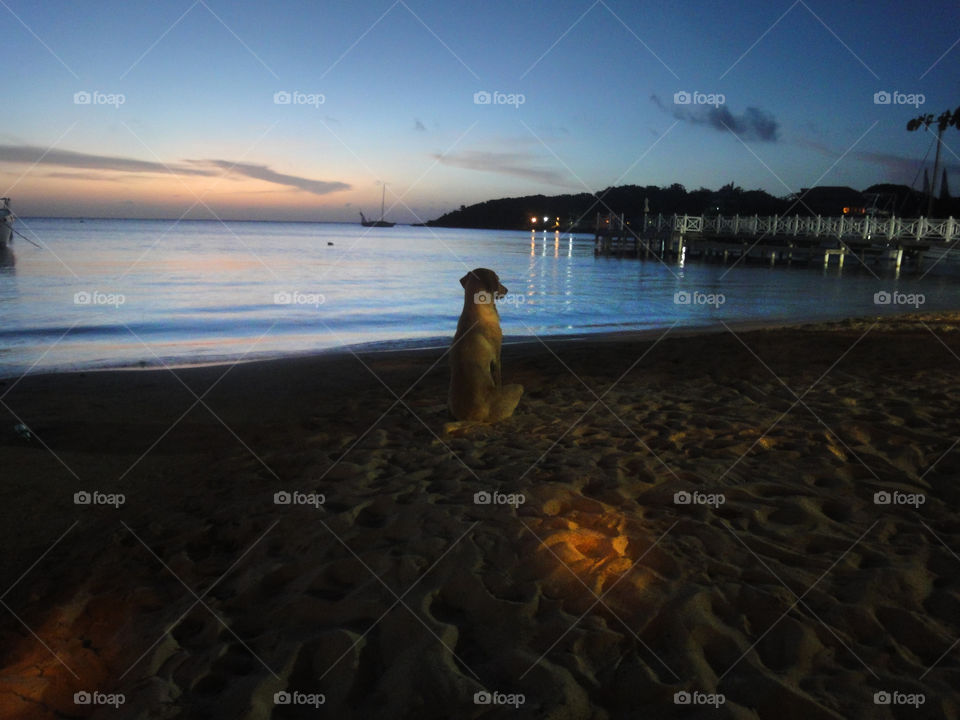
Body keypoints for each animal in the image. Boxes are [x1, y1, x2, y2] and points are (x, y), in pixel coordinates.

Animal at [450, 268, 524, 422]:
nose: (507, 290)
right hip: (517, 387)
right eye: (498, 279)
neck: (476, 308)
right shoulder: (497, 356)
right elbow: (499, 377)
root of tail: (471, 417)